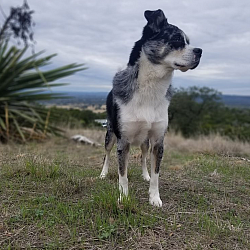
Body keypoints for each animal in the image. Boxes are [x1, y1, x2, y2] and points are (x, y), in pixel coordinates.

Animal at [99, 9, 201, 207]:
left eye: (188, 41)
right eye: (177, 39)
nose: (200, 51)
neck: (150, 88)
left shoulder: (158, 141)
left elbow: (156, 174)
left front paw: (154, 197)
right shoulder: (123, 141)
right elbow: (123, 175)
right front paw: (124, 197)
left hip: (145, 141)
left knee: (143, 156)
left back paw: (144, 174)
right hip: (110, 134)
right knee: (107, 154)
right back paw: (103, 173)